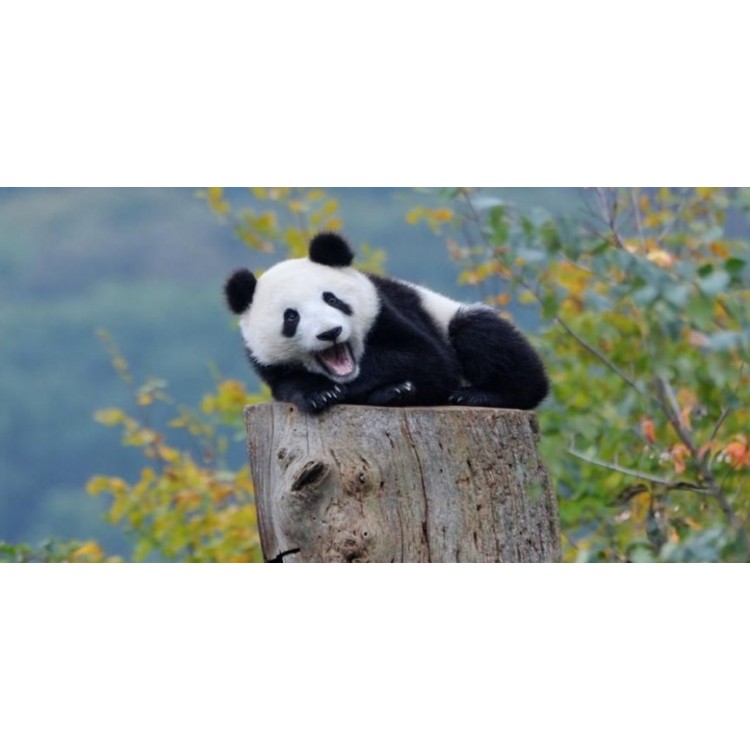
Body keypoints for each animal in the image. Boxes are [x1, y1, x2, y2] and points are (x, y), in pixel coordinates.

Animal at [224, 232, 549, 413]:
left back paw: (479, 394)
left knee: (483, 336)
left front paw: (381, 387)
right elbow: (288, 384)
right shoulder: (268, 364)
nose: (330, 333)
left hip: (450, 316)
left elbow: (427, 359)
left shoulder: (389, 311)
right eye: (291, 316)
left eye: (332, 299)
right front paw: (320, 394)